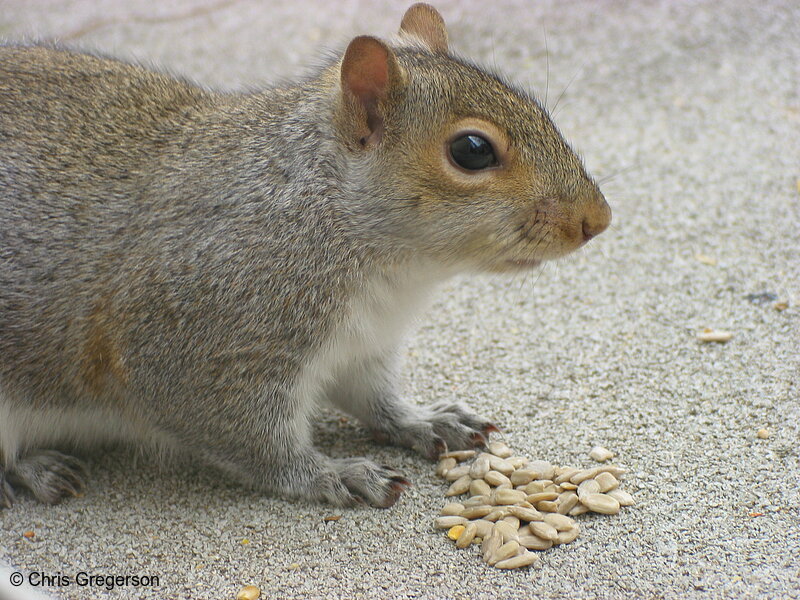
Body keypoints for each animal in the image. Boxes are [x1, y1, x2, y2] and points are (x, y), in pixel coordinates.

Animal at [1, 3, 612, 510]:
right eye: (471, 150)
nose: (597, 220)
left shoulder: (365, 341)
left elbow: (373, 395)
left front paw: (424, 420)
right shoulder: (200, 343)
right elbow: (251, 440)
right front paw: (331, 474)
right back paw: (32, 471)